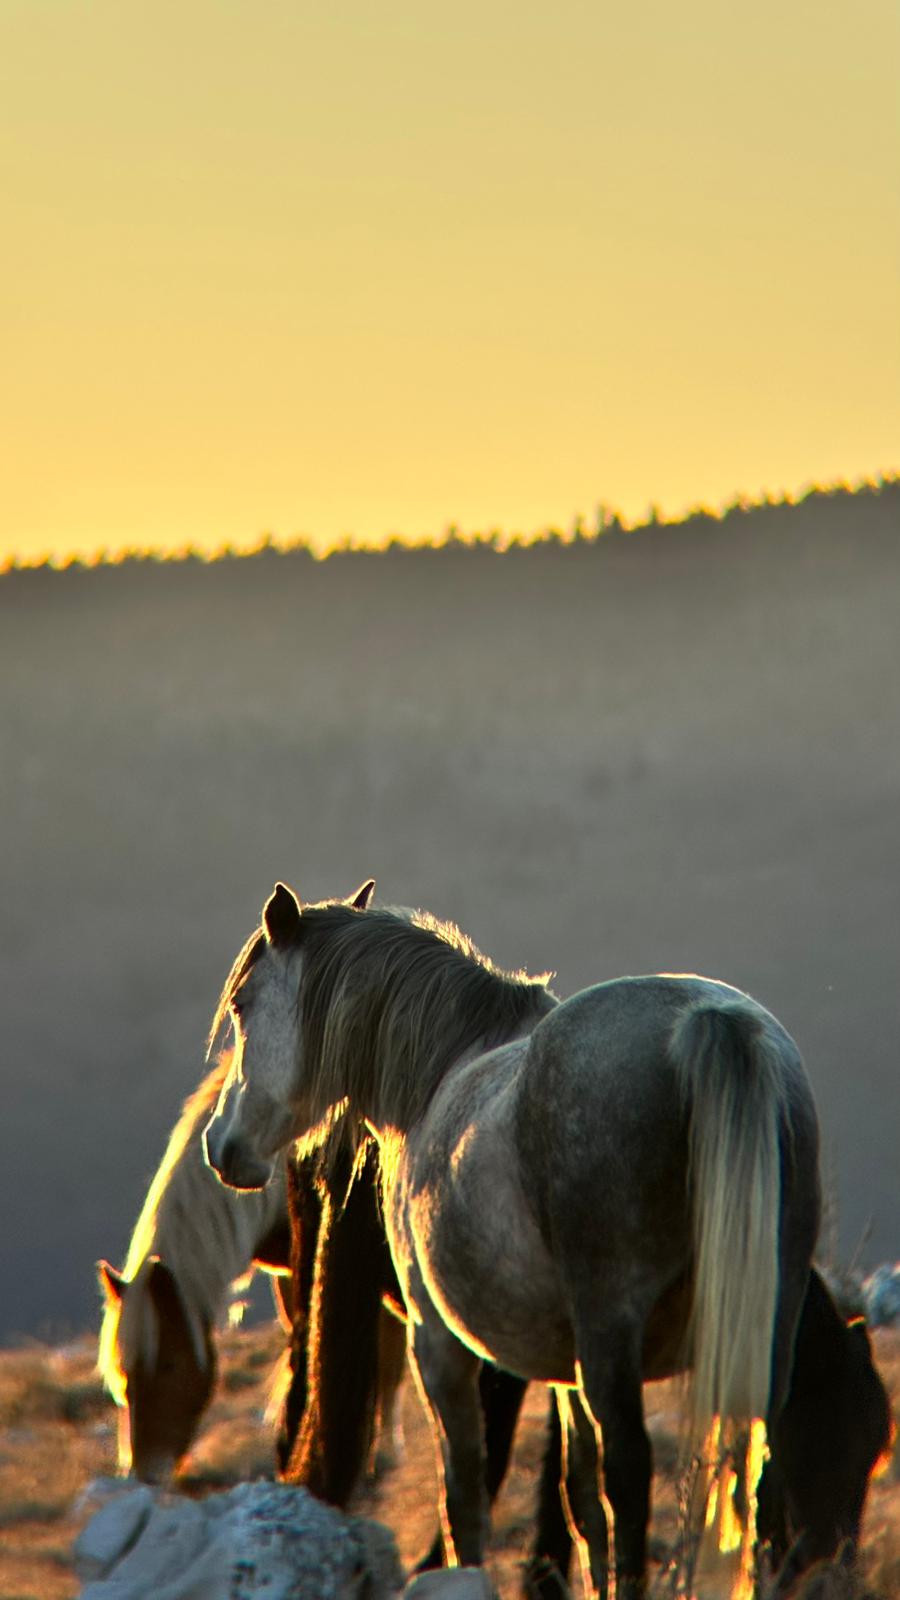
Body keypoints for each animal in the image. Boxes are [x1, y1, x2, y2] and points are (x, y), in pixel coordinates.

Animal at [202, 883, 827, 1599]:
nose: (221, 1145)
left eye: (243, 1007)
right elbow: (580, 1500)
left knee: (631, 1473)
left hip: (611, 1333)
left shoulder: (438, 1346)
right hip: (760, 1330)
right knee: (760, 1468)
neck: (440, 1071)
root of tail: (709, 1022)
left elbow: (465, 1495)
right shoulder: (569, 1376)